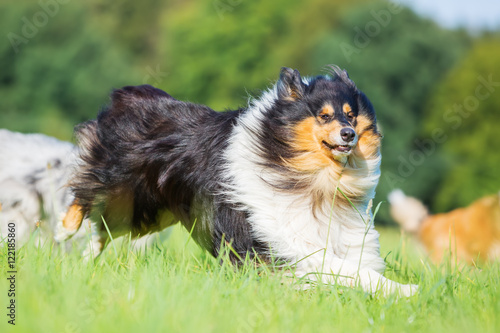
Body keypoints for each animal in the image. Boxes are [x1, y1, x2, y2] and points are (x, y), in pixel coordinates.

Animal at [57, 66, 418, 294]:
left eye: (351, 115)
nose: (349, 134)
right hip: (119, 180)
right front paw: (406, 289)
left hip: (148, 209)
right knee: (85, 193)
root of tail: (133, 95)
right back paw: (63, 232)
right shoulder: (282, 237)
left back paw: (85, 262)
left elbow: (354, 264)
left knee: (104, 228)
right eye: (324, 115)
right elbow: (344, 269)